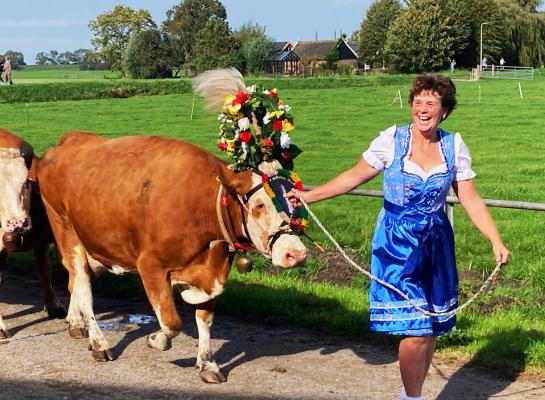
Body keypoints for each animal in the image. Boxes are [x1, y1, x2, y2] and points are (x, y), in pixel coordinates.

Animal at [36, 130, 306, 382]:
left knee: (75, 282)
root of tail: (69, 140)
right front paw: (156, 340)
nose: (297, 253)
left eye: (294, 201)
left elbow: (204, 320)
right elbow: (171, 323)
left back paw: (75, 323)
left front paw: (208, 364)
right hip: (66, 231)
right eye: (260, 205)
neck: (202, 204)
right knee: (83, 285)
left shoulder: (211, 273)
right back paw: (99, 343)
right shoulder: (150, 265)